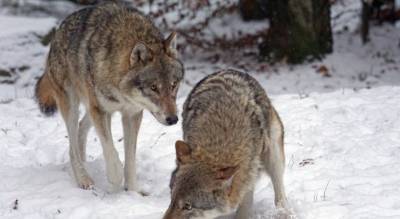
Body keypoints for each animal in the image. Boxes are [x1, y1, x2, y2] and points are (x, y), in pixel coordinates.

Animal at [34, 2, 184, 192]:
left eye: (173, 85)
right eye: (154, 87)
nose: (173, 119)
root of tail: (58, 32)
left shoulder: (132, 114)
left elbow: (131, 159)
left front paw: (132, 191)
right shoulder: (101, 111)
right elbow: (110, 151)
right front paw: (115, 178)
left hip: (93, 108)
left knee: (81, 129)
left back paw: (84, 163)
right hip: (73, 106)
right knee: (72, 145)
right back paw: (83, 178)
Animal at [163, 70, 290, 219]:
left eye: (188, 206)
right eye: (172, 198)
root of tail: (228, 70)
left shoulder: (247, 179)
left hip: (274, 157)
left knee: (279, 192)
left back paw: (285, 212)